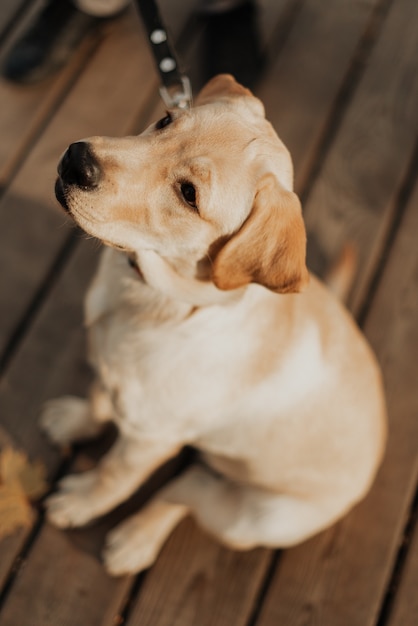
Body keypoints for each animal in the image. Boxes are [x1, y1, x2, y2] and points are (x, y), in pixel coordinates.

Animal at [40, 75, 386, 572]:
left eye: (189, 194)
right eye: (165, 119)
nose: (76, 160)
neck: (155, 297)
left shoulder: (150, 437)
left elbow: (114, 475)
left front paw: (82, 501)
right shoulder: (113, 371)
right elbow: (98, 396)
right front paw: (75, 419)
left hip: (258, 519)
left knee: (186, 489)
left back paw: (135, 539)